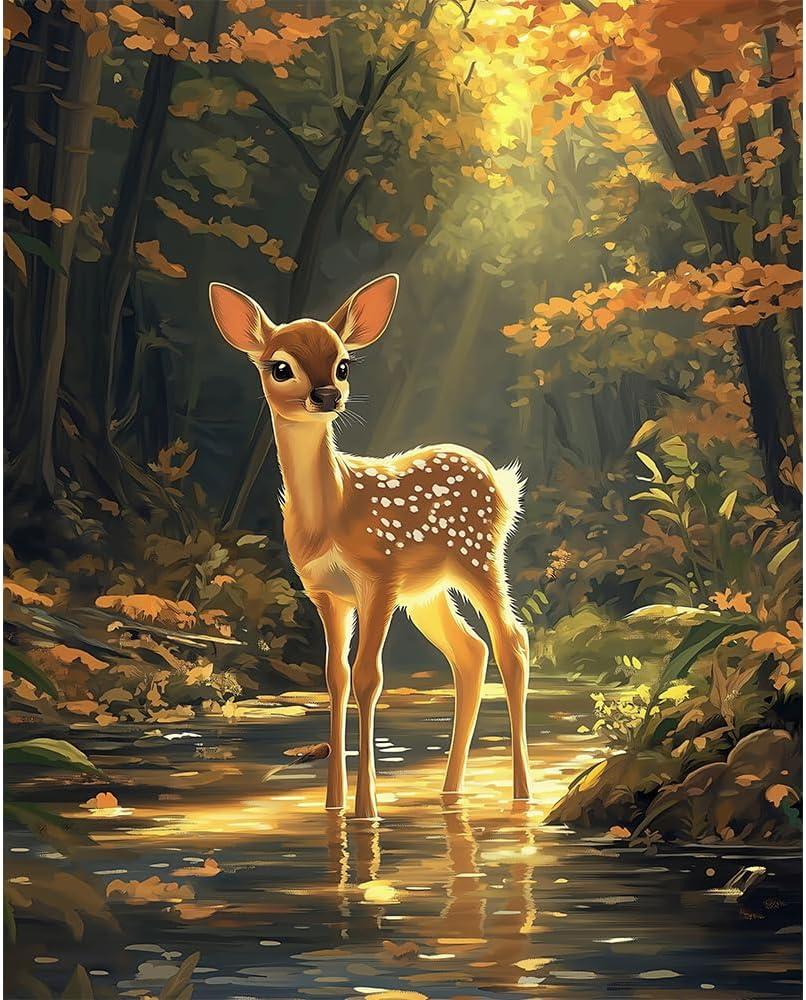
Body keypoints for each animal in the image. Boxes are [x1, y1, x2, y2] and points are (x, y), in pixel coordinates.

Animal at [209, 274, 531, 819]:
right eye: (280, 366)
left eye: (343, 364)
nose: (326, 394)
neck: (333, 513)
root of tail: (501, 481)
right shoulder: (326, 593)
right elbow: (335, 678)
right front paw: (332, 805)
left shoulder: (378, 577)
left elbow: (368, 678)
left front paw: (366, 811)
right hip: (428, 591)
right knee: (470, 651)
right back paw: (450, 790)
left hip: (479, 556)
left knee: (513, 643)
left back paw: (522, 796)